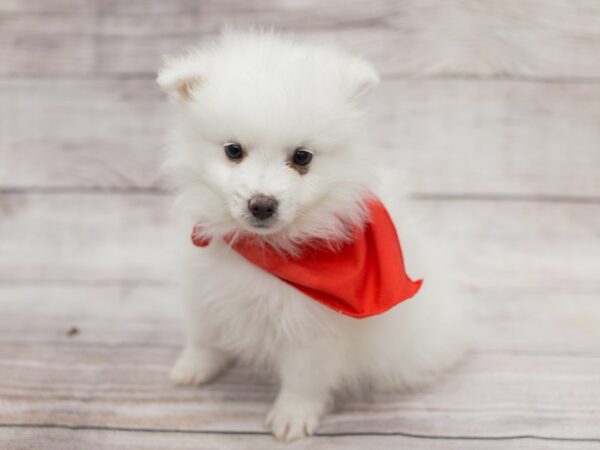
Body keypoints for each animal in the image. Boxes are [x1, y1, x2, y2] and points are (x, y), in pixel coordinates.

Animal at [157, 29, 466, 442]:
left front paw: (292, 416)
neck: (266, 251)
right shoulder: (203, 284)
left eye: (302, 157)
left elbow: (303, 377)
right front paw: (192, 368)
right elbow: (204, 334)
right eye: (233, 151)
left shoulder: (315, 329)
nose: (262, 204)